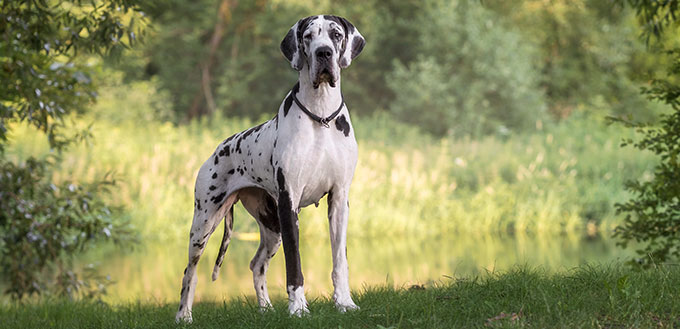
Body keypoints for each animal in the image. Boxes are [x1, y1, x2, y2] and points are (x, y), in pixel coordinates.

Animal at [177, 14, 366, 320]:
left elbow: (340, 261)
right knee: (189, 271)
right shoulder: (289, 204)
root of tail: (219, 147)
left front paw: (344, 303)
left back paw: (265, 308)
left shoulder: (339, 200)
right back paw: (184, 315)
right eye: (308, 36)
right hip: (204, 223)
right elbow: (295, 266)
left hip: (271, 228)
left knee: (256, 264)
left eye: (336, 34)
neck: (321, 116)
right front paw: (298, 308)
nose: (323, 53)